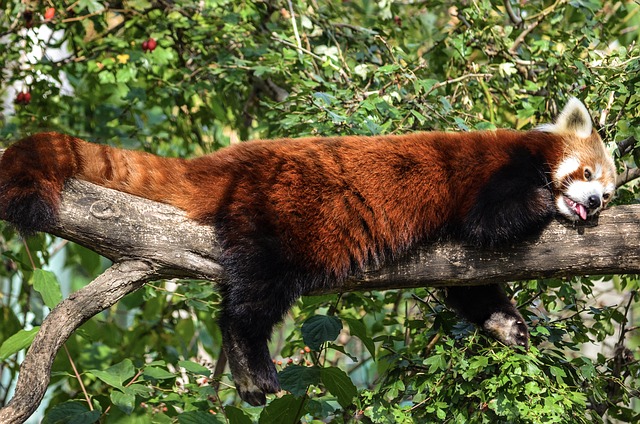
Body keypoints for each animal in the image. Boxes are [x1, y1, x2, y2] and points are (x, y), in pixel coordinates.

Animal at [0, 97, 616, 404]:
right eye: (587, 174)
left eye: (608, 192)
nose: (594, 204)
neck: (530, 152)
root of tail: (238, 158)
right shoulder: (488, 175)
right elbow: (492, 221)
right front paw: (544, 203)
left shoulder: (461, 258)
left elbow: (470, 285)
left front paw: (506, 324)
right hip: (293, 218)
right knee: (252, 300)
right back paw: (253, 364)